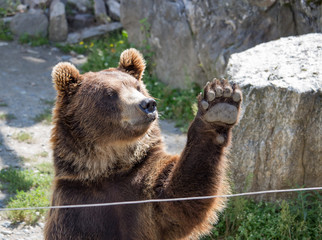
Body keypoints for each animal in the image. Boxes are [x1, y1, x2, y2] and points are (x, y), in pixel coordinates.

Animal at [44, 47, 242, 239]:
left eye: (137, 87)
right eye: (110, 94)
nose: (148, 104)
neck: (109, 169)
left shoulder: (145, 190)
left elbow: (181, 200)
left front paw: (219, 100)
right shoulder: (76, 205)